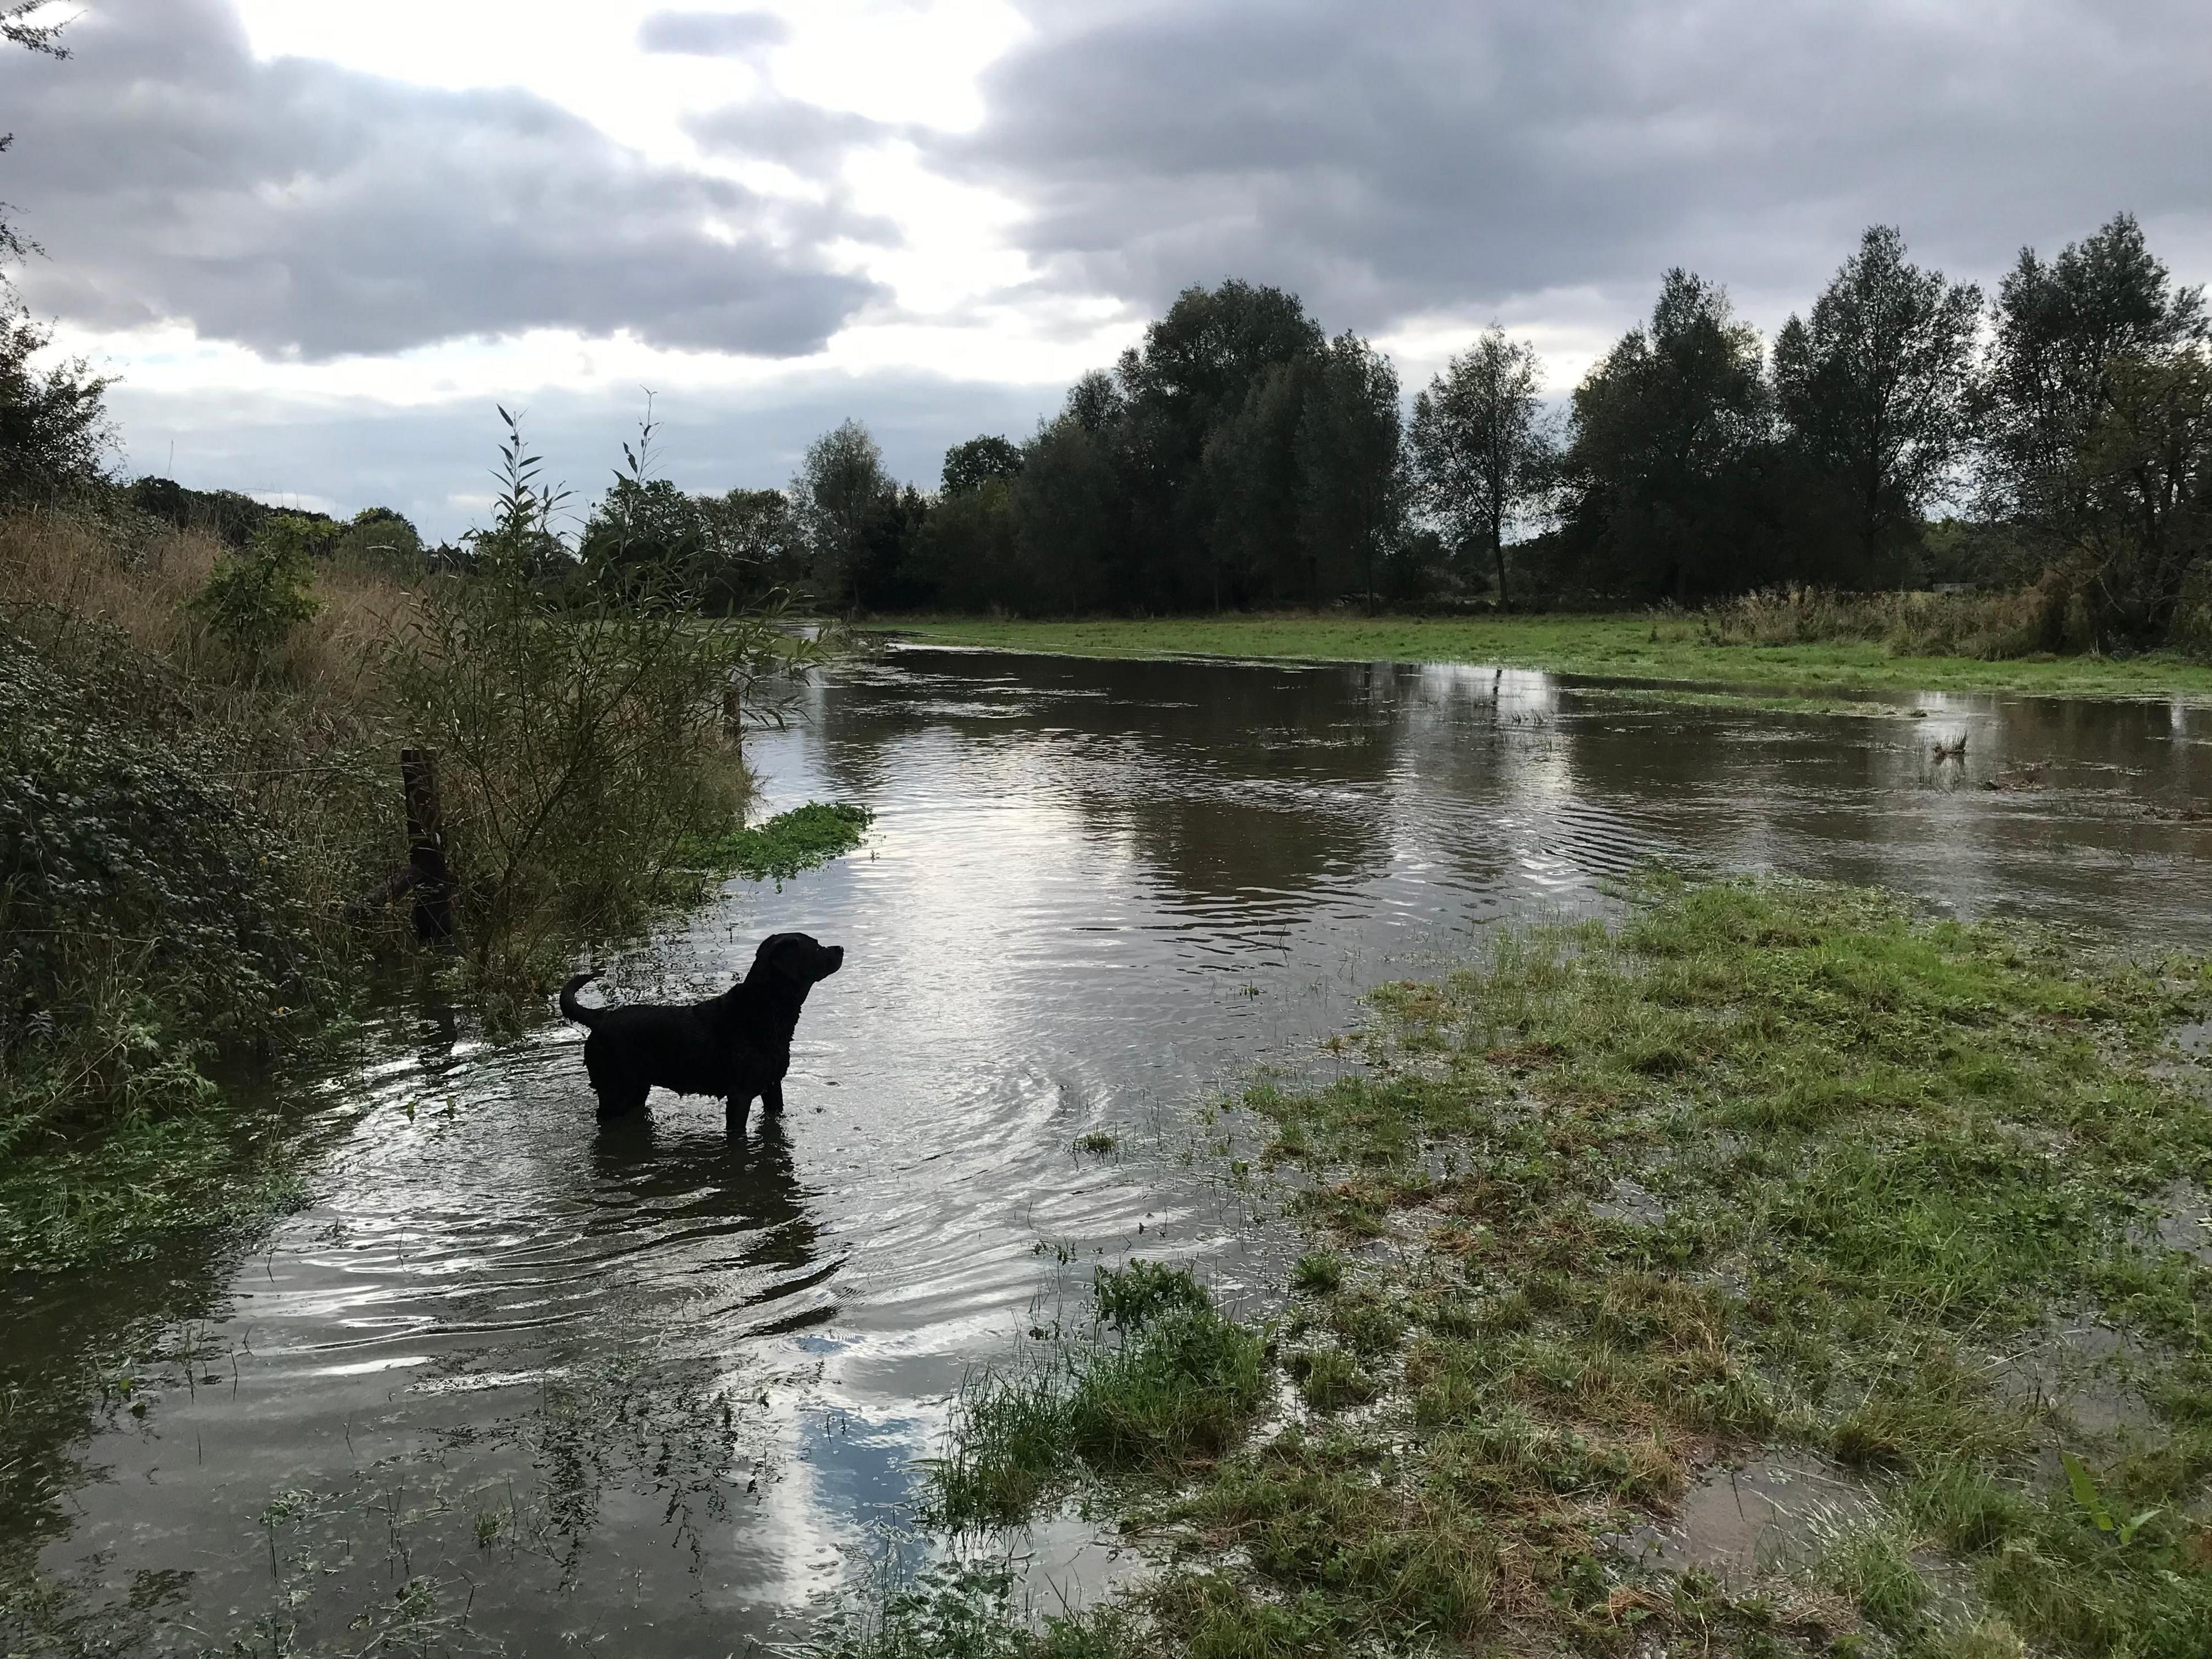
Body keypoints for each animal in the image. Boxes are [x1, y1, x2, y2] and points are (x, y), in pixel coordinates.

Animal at [562, 938, 844, 1132]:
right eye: (817, 948)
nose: (840, 948)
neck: (766, 1010)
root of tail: (601, 1017)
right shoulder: (740, 1096)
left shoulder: (773, 1087)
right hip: (615, 1091)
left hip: (637, 1089)